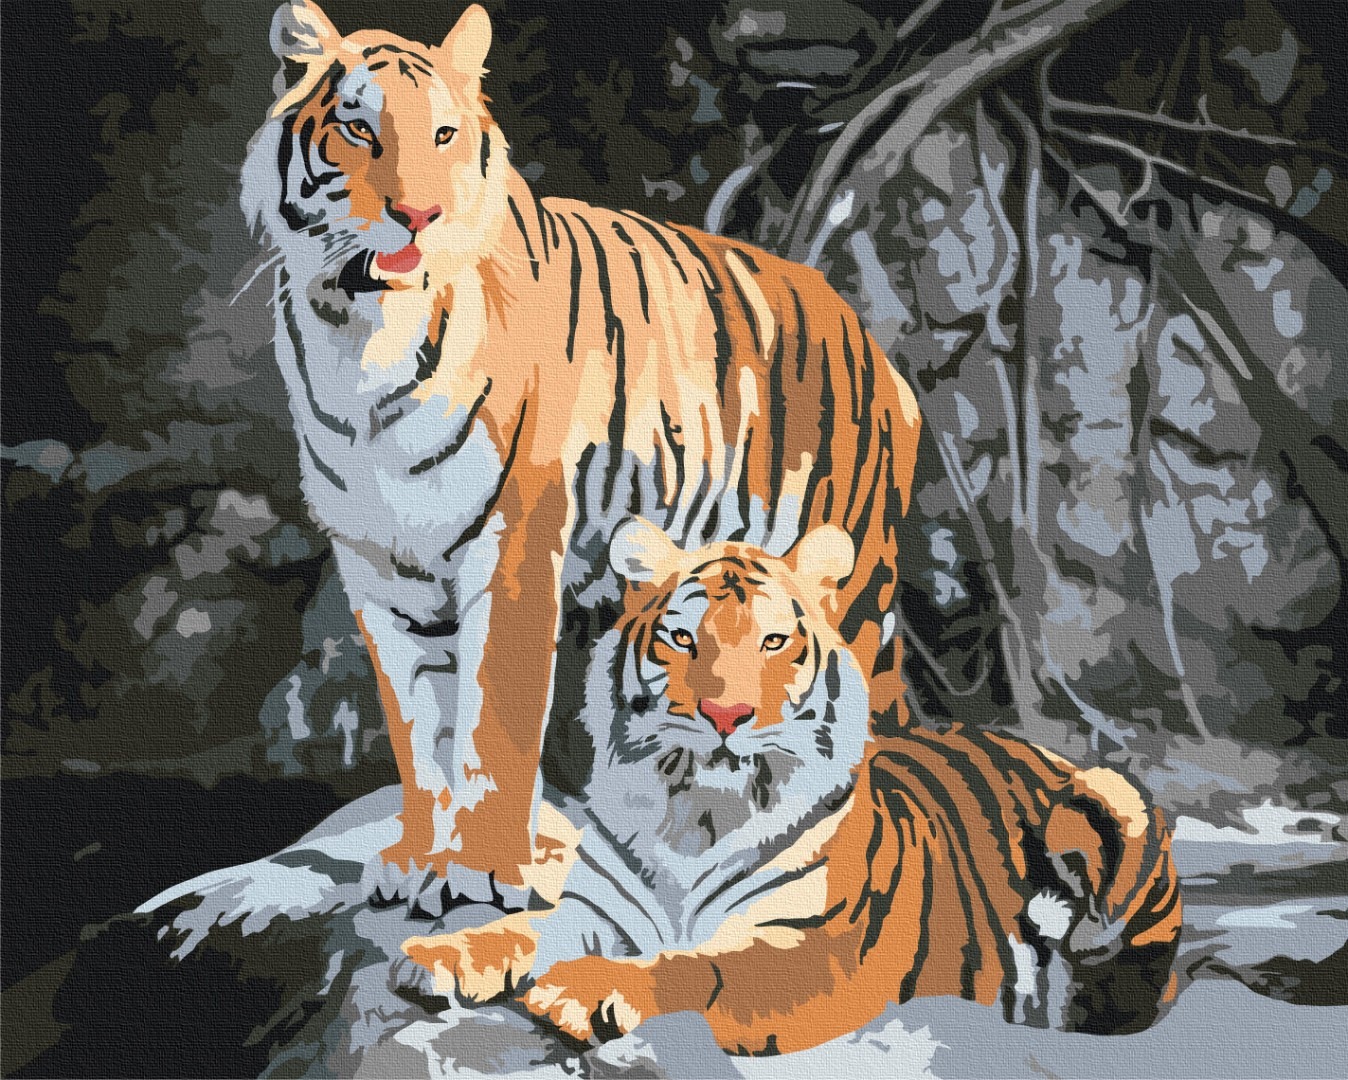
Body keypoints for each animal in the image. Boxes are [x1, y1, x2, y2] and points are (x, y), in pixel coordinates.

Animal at [239, 1, 922, 913]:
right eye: (359, 127)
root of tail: (872, 343)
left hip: (845, 586)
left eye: (446, 133)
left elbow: (495, 722)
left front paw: (484, 871)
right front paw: (418, 859)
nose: (419, 216)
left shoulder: (515, 543)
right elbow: (417, 725)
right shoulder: (379, 565)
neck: (358, 341)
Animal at [402, 519, 1184, 1054]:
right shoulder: (601, 911)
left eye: (774, 642)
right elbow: (523, 928)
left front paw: (588, 988)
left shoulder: (816, 951)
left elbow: (699, 969)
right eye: (683, 639)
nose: (725, 714)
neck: (693, 817)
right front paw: (438, 956)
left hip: (1110, 799)